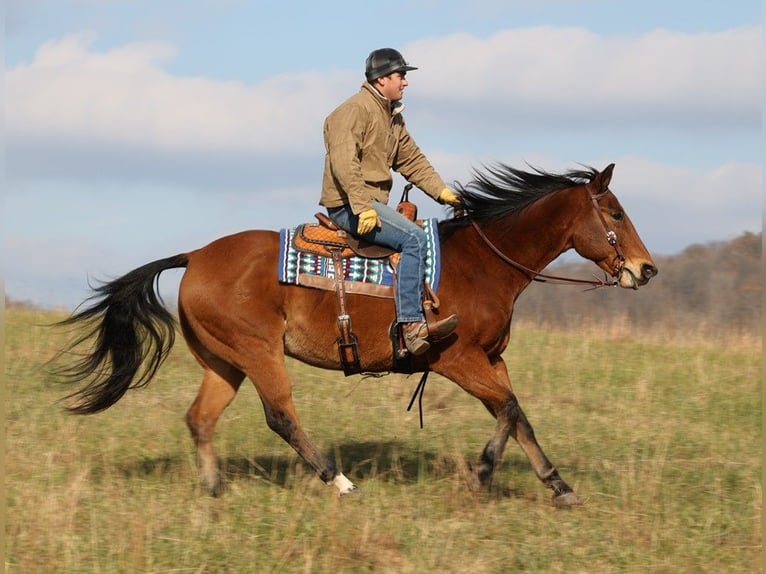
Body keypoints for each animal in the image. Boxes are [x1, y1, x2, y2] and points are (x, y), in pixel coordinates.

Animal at [55, 163, 660, 508]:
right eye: (614, 211)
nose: (646, 269)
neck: (481, 265)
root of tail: (195, 256)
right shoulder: (456, 359)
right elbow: (510, 410)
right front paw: (492, 476)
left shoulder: (491, 360)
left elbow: (516, 415)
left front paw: (548, 483)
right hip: (258, 352)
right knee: (280, 415)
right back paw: (337, 481)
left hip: (224, 362)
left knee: (200, 419)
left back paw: (215, 490)